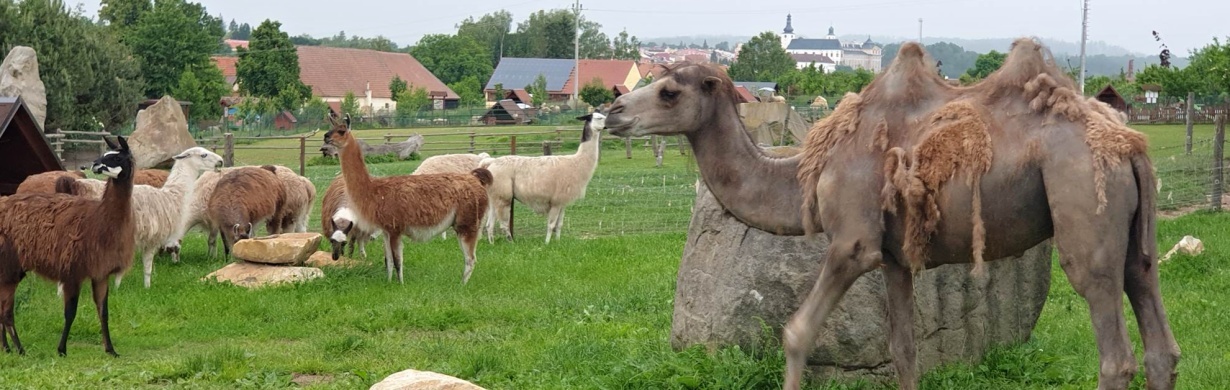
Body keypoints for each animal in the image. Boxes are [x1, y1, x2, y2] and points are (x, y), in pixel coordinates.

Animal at [600, 39, 1175, 388]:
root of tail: (1132, 145)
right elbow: (903, 349)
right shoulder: (898, 259)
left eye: (669, 91)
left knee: (1114, 351)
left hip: (1082, 208)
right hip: (1135, 242)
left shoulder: (853, 243)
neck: (809, 171)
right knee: (1158, 338)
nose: (611, 112)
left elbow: (796, 332)